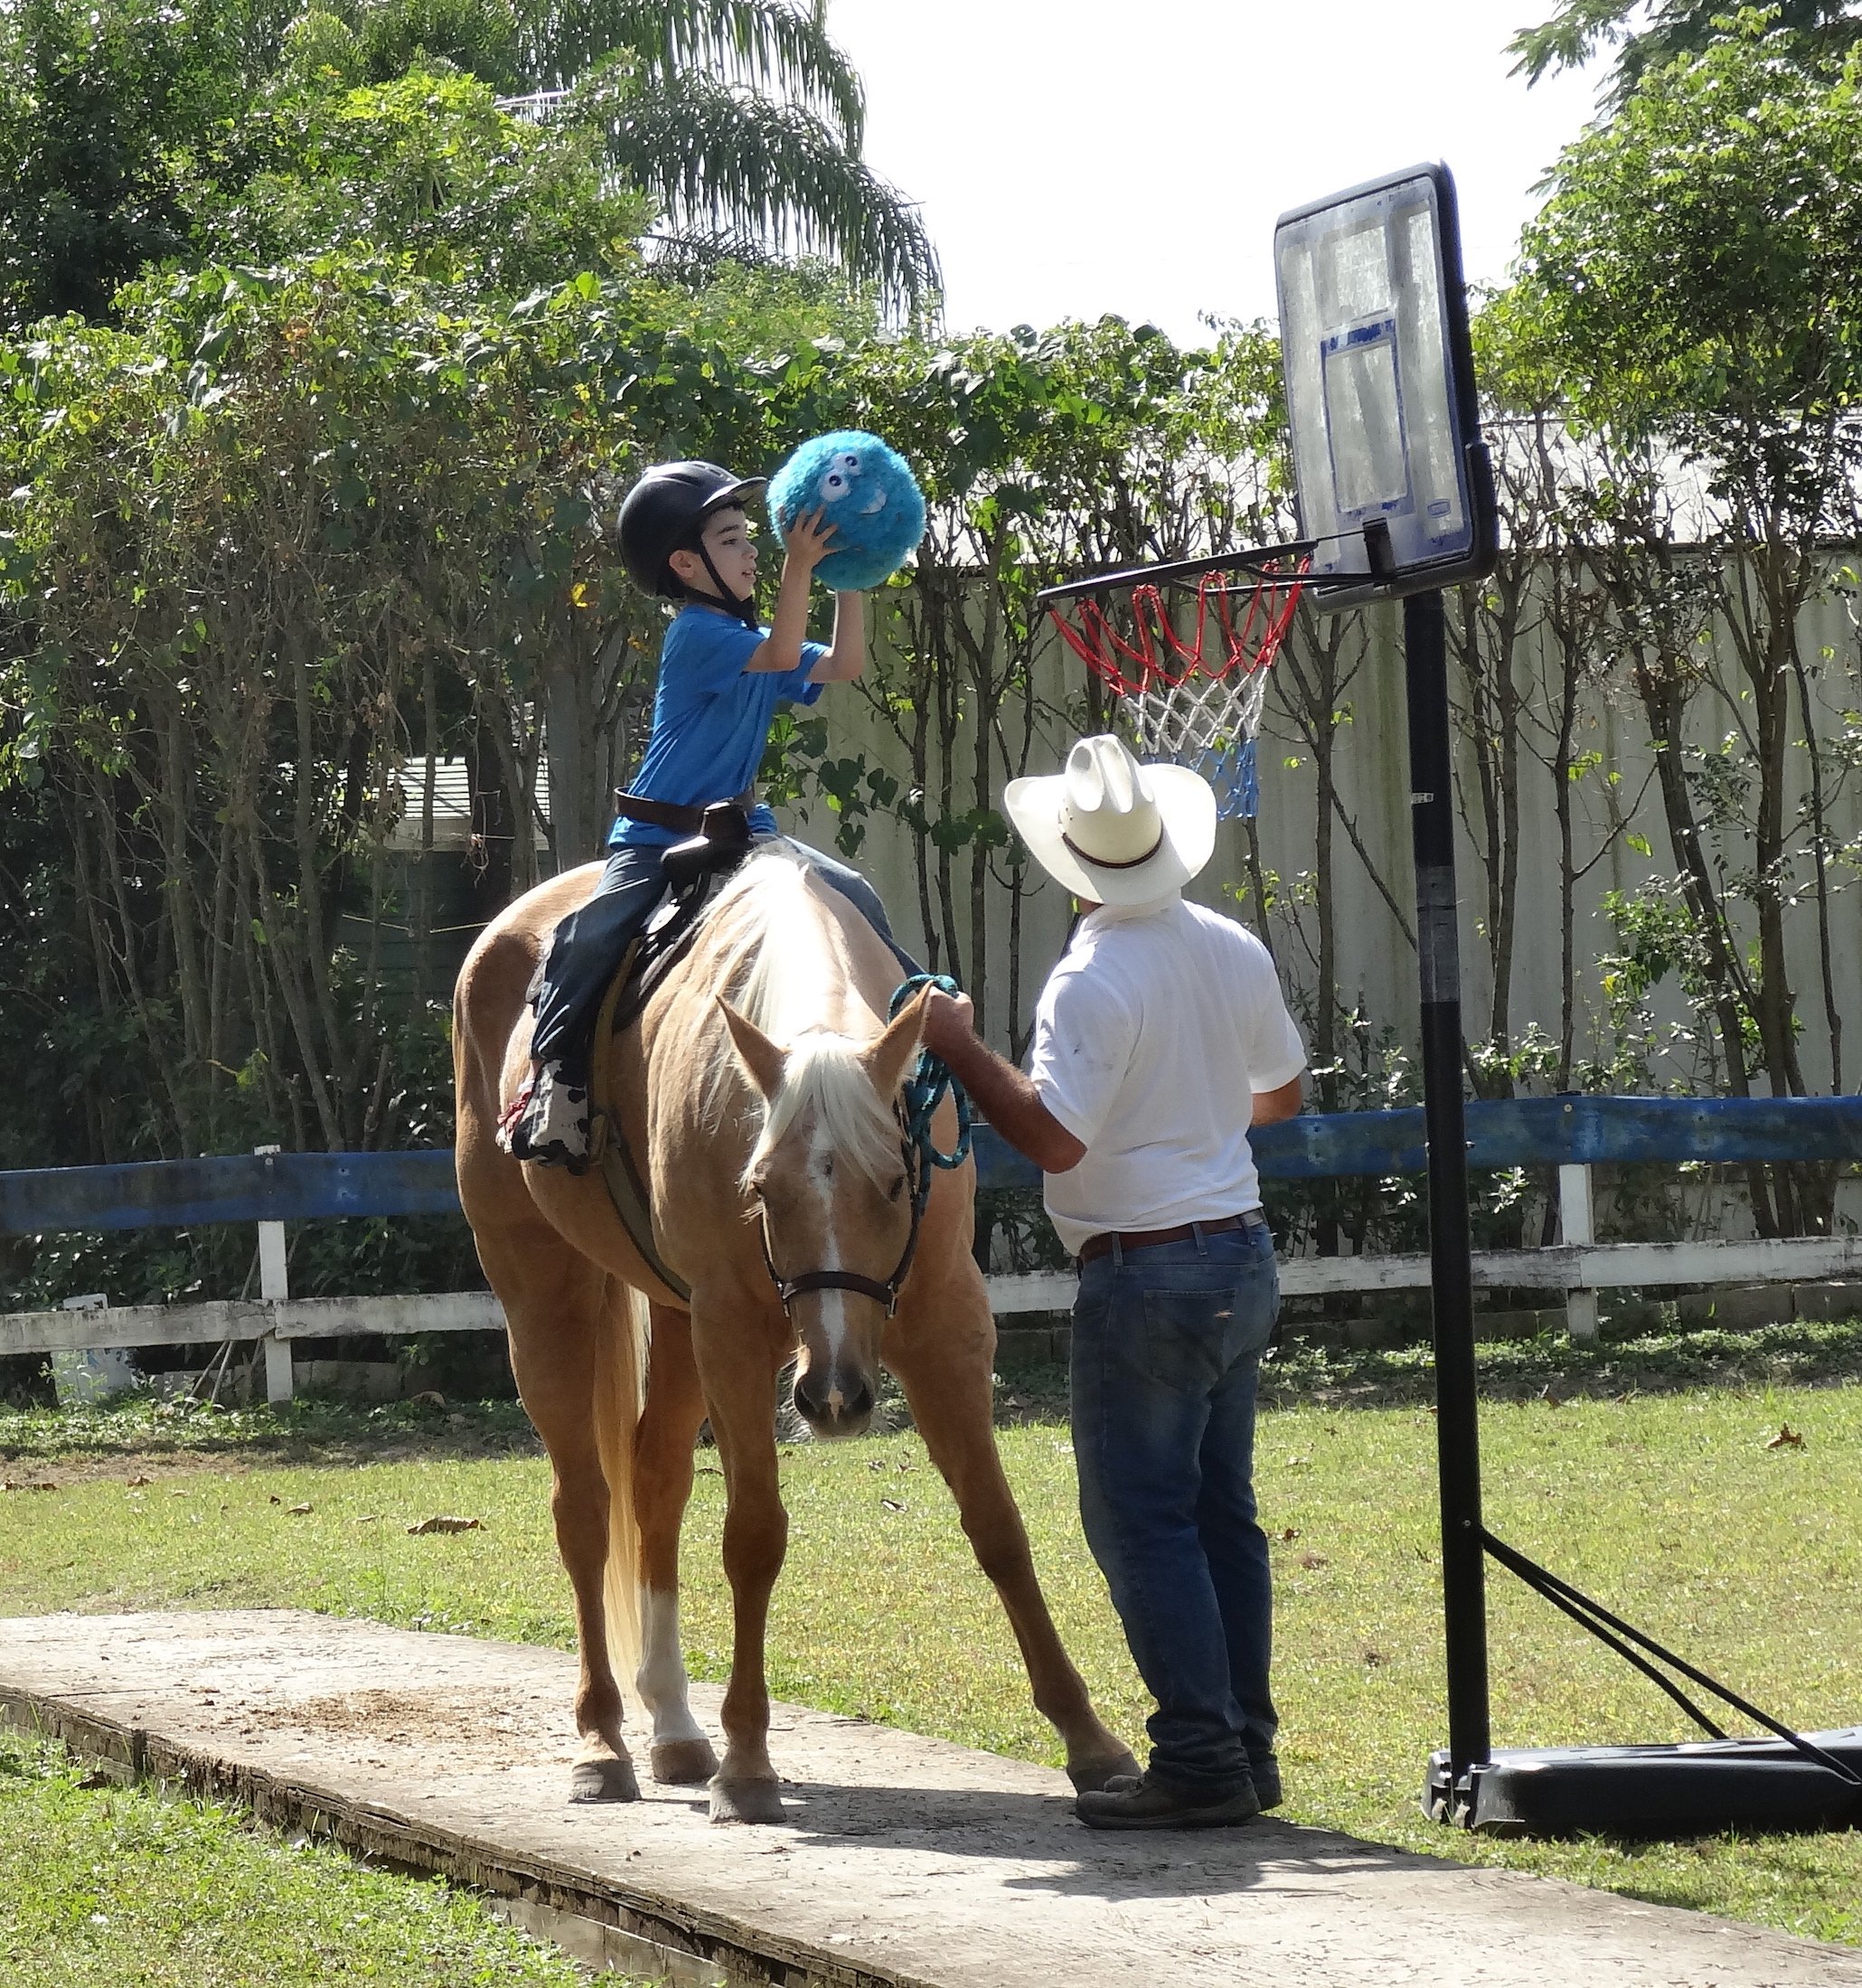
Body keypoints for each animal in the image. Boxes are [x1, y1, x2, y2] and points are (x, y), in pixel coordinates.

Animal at [456, 846, 1144, 1821]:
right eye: (763, 1189)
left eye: (893, 1182)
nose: (834, 1396)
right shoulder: (736, 1335)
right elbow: (753, 1536)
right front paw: (749, 1762)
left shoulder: (946, 1322)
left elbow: (998, 1526)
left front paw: (1091, 1744)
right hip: (544, 1292)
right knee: (585, 1508)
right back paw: (602, 1740)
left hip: (678, 1322)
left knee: (655, 1486)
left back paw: (674, 1727)